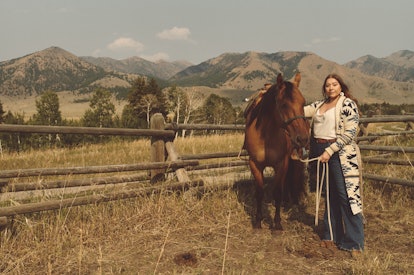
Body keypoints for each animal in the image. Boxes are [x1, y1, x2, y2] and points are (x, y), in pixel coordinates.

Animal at [244, 71, 308, 231]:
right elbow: (259, 192)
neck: (266, 134)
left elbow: (277, 192)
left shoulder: (282, 163)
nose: (303, 139)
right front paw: (258, 221)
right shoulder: (255, 164)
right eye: (284, 105)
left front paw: (277, 223)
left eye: (303, 103)